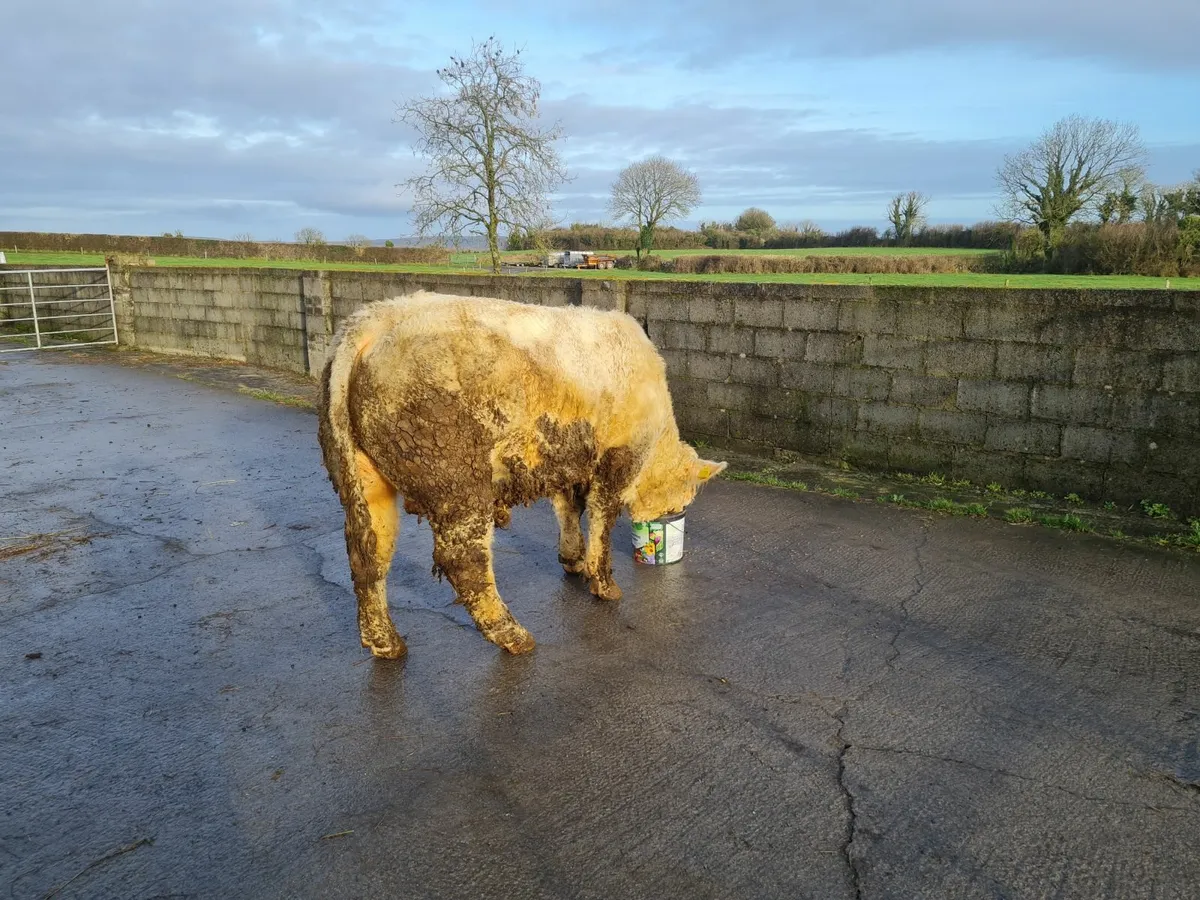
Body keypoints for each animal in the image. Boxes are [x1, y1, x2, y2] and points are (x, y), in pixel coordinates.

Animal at [317, 290, 726, 659]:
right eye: (685, 497)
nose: (675, 515)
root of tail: (369, 322)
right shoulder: (617, 456)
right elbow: (602, 518)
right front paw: (604, 584)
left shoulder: (567, 460)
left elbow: (568, 509)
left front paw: (573, 561)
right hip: (454, 479)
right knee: (462, 560)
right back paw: (514, 637)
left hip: (362, 474)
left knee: (368, 552)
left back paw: (386, 644)